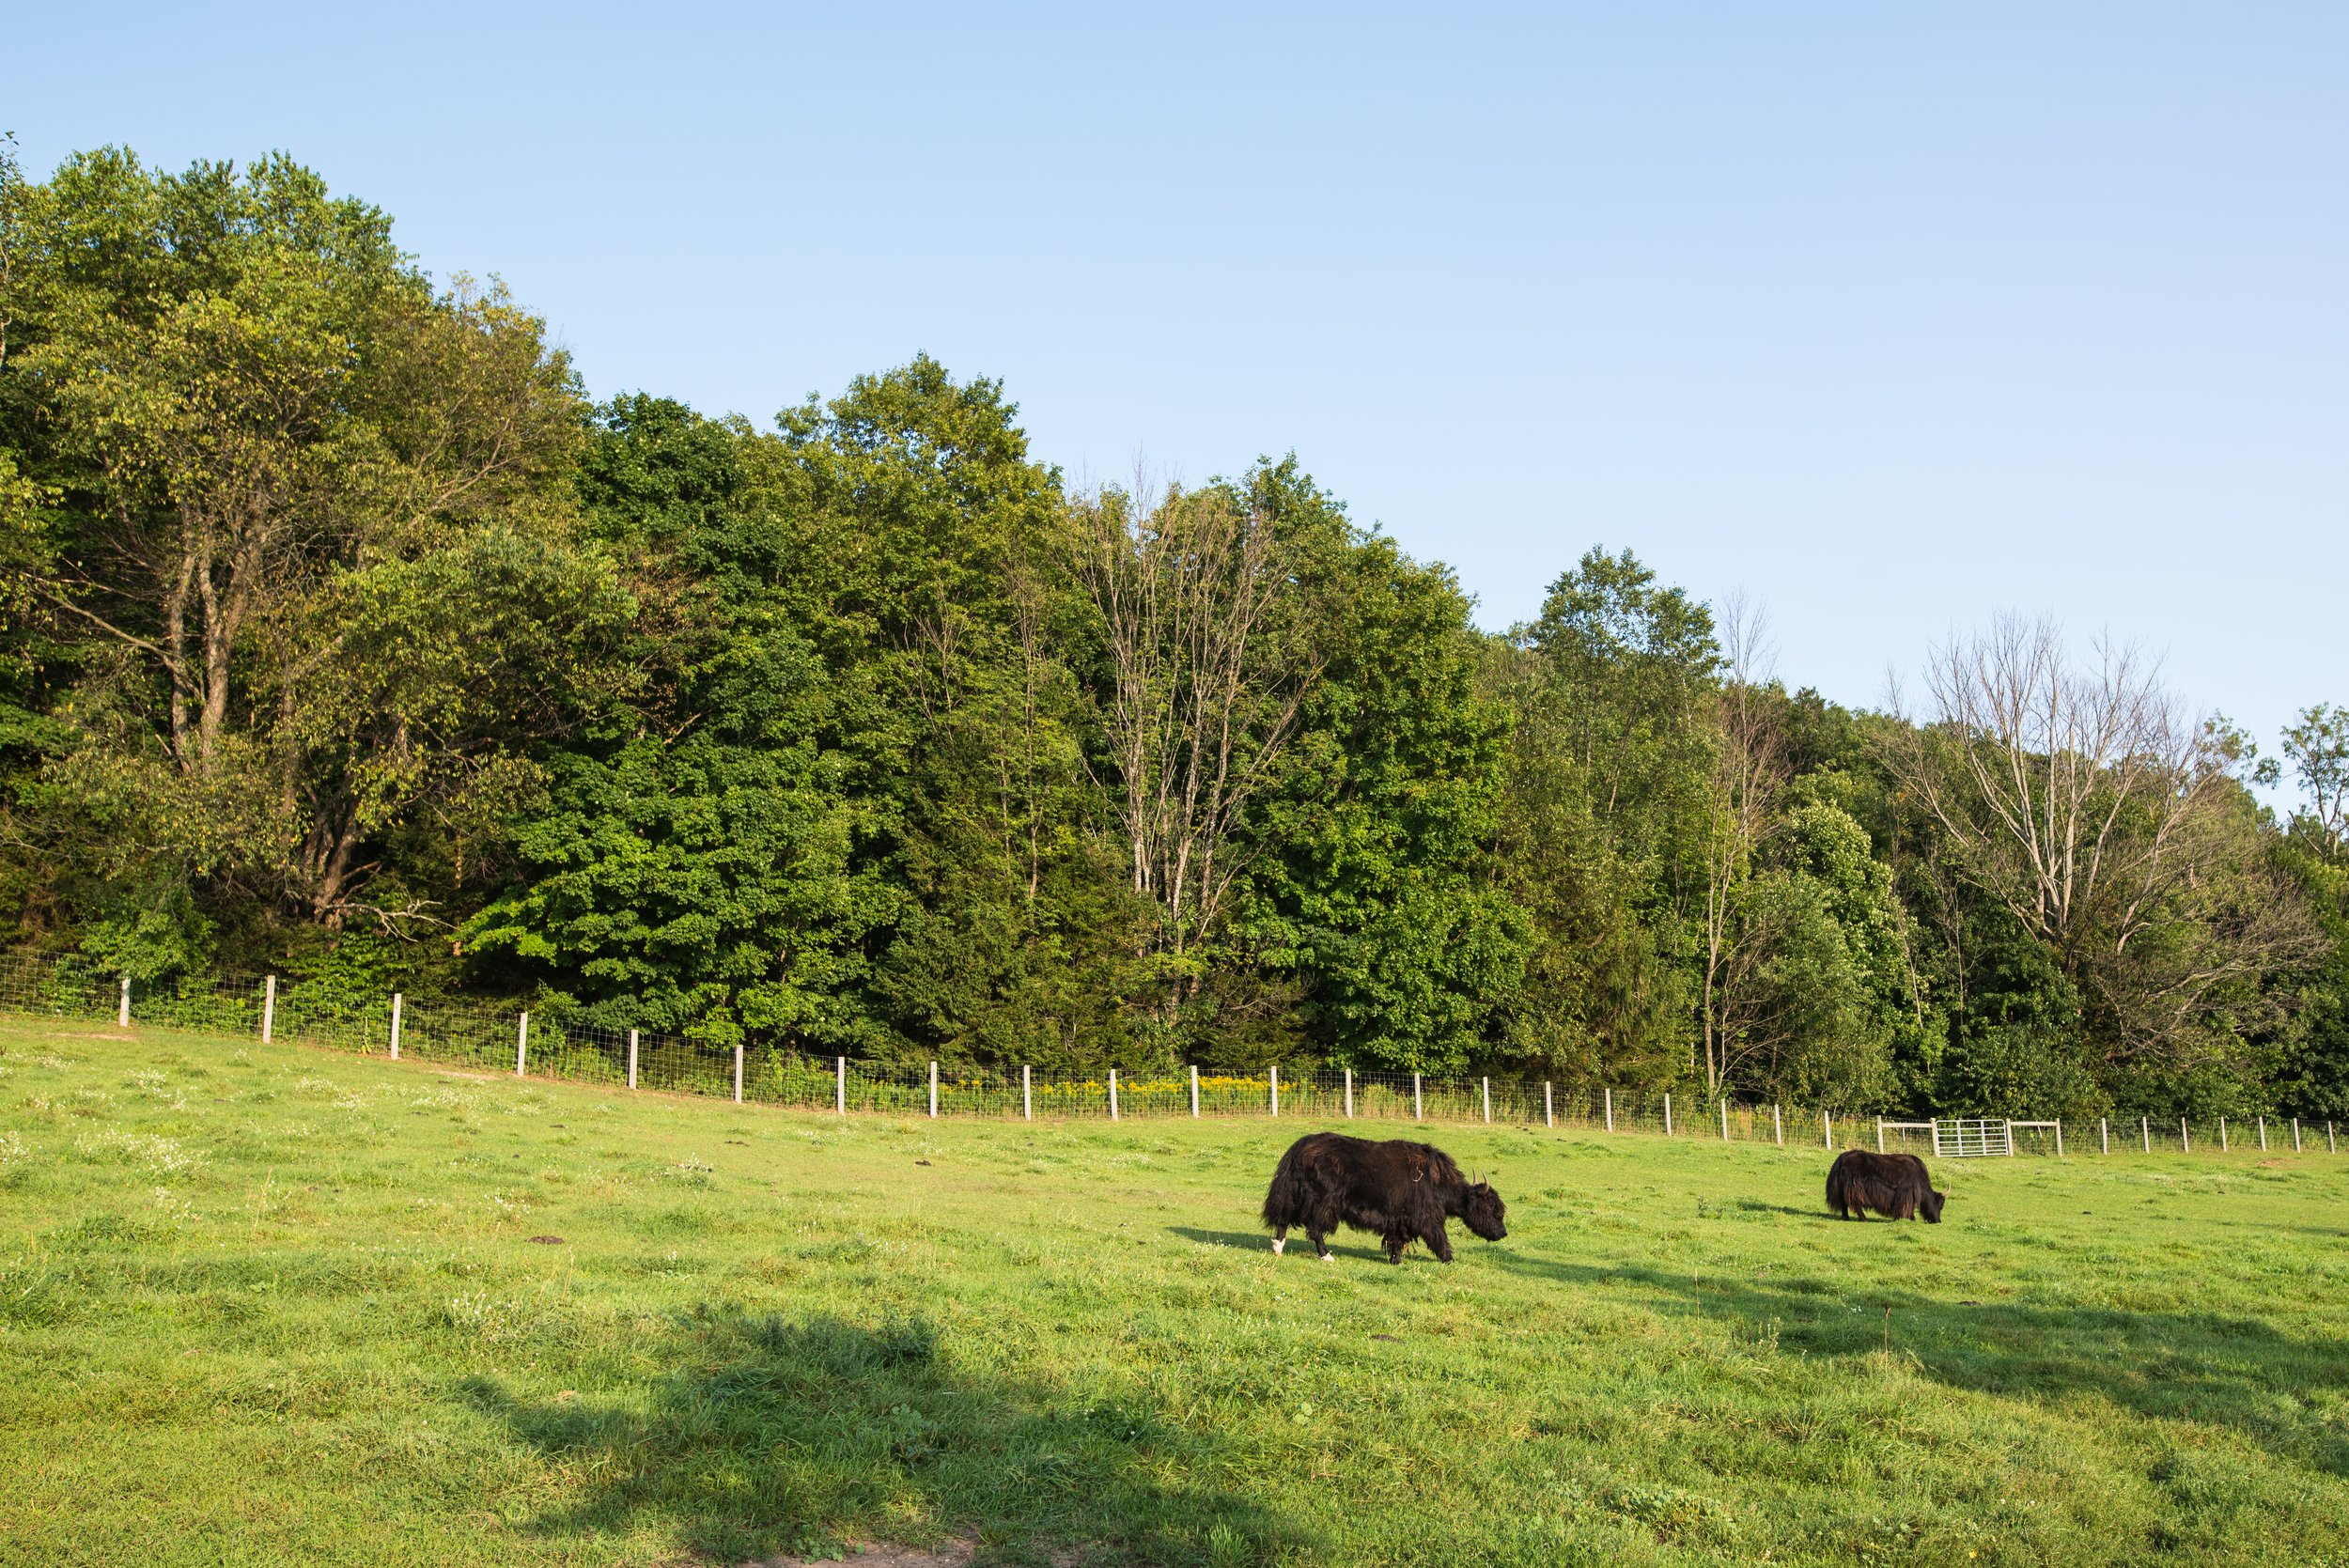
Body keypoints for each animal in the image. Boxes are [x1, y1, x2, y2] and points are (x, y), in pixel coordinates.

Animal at [1261, 1132, 1507, 1264]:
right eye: (1493, 1210)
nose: (1503, 1233)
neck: (1440, 1183)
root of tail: (1299, 1147)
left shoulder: (1399, 1218)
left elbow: (1396, 1239)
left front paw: (1396, 1260)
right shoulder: (1426, 1217)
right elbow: (1438, 1237)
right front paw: (1449, 1259)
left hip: (1295, 1195)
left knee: (1284, 1218)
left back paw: (1277, 1249)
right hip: (1322, 1203)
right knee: (1315, 1229)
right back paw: (1327, 1256)